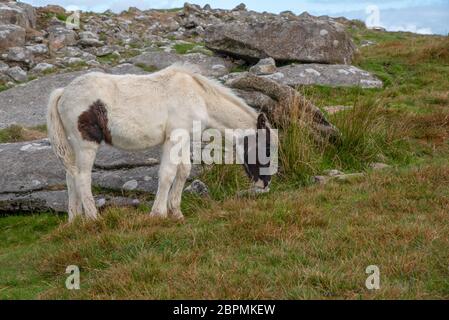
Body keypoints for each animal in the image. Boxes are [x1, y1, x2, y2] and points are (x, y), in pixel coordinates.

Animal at [48, 63, 272, 221]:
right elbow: (167, 173)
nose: (265, 183)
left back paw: (75, 221)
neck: (198, 97)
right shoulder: (174, 137)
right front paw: (158, 214)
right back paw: (94, 219)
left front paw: (176, 212)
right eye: (268, 147)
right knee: (82, 177)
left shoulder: (184, 138)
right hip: (86, 144)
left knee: (70, 177)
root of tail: (63, 93)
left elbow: (183, 171)